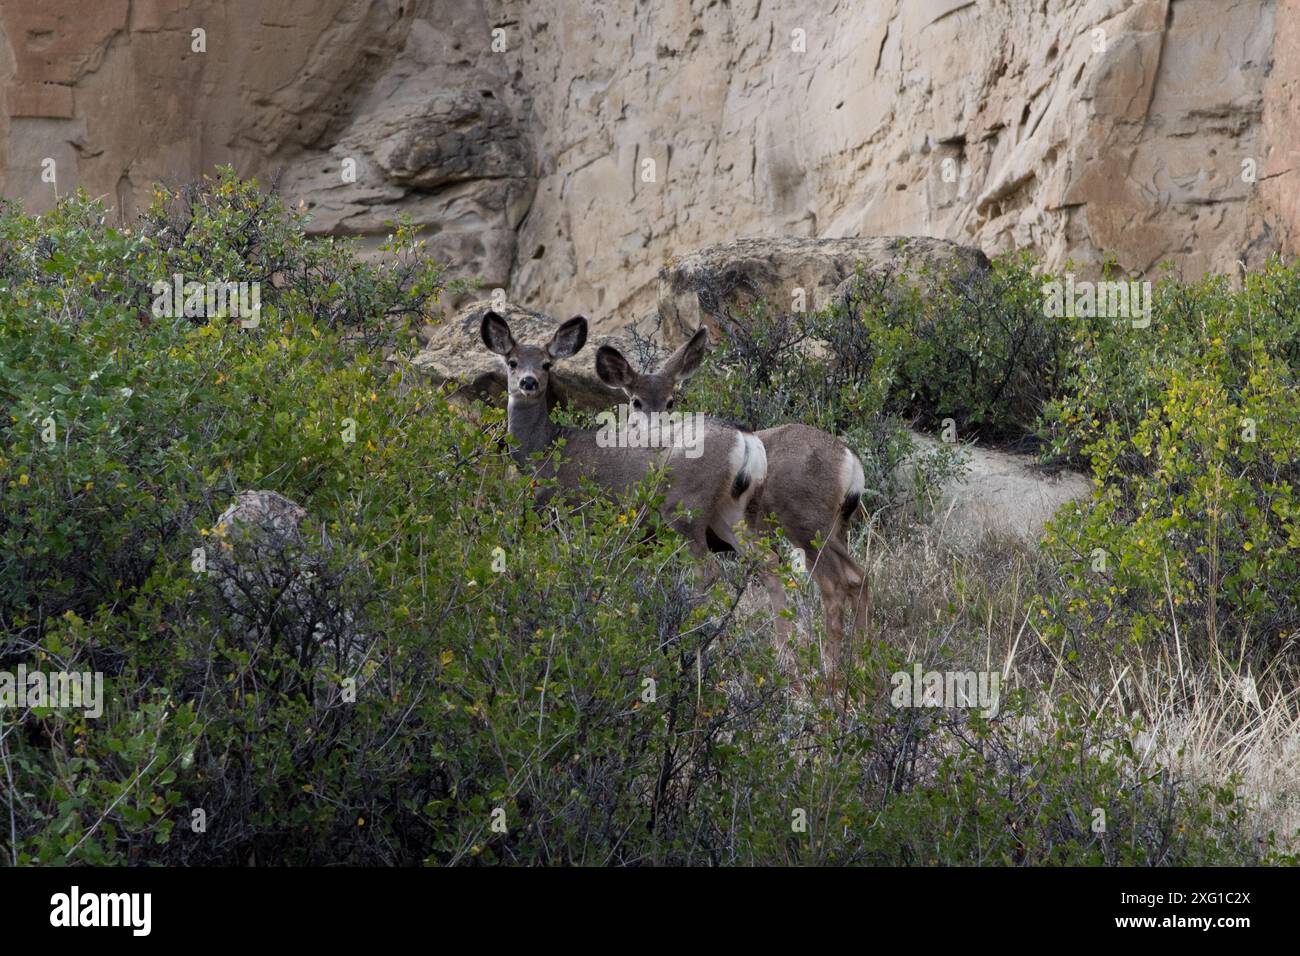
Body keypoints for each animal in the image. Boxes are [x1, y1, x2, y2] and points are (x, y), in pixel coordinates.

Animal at [478, 312, 759, 574]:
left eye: (546, 364)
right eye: (512, 363)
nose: (528, 381)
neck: (543, 450)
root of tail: (742, 436)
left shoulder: (566, 508)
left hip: (686, 504)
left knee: (709, 568)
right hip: (730, 508)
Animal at [595, 332, 863, 676]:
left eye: (671, 401)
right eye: (635, 401)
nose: (657, 433)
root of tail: (850, 461)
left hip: (805, 526)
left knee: (833, 585)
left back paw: (828, 668)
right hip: (835, 529)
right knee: (857, 578)